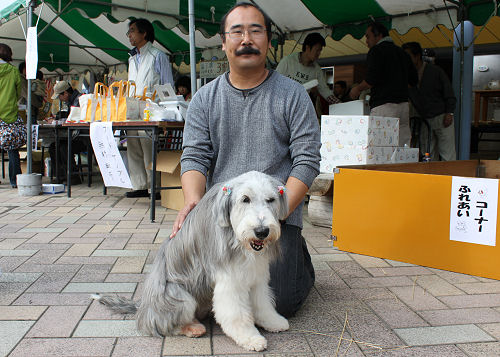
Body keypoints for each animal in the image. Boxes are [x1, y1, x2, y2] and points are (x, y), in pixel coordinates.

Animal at [95, 170, 290, 350]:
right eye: (245, 199)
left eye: (271, 199)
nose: (262, 231)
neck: (236, 238)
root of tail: (143, 309)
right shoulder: (230, 280)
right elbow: (237, 314)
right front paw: (251, 338)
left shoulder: (256, 275)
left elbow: (262, 303)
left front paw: (273, 321)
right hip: (178, 297)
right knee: (166, 325)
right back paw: (193, 328)